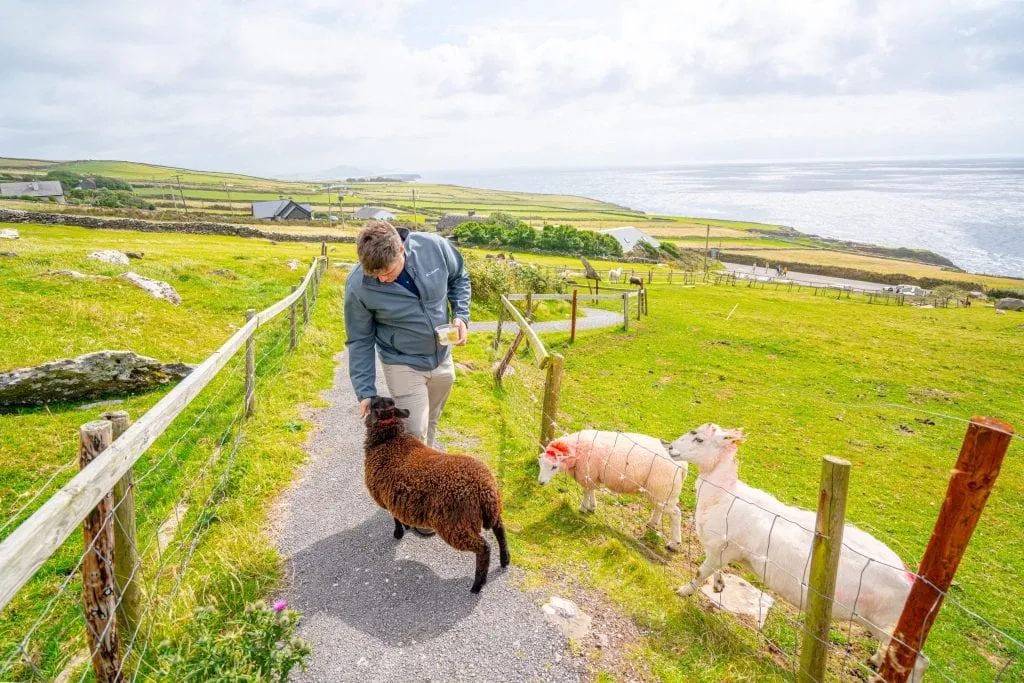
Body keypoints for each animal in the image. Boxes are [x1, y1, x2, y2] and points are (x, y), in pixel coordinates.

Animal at [362, 395, 509, 593]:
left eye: (375, 403)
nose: (370, 396)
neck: (388, 441)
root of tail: (484, 487)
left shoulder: (386, 497)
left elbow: (395, 518)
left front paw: (398, 533)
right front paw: (406, 527)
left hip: (453, 524)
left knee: (483, 547)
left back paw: (478, 584)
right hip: (493, 509)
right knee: (500, 530)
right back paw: (505, 560)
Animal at [536, 432, 688, 548]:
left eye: (554, 466)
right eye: (540, 463)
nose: (541, 482)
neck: (576, 451)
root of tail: (681, 465)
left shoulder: (588, 473)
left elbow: (586, 491)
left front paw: (583, 507)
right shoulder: (591, 476)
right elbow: (590, 490)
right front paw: (592, 506)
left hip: (662, 488)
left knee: (676, 514)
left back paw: (674, 543)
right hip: (661, 490)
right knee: (659, 508)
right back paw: (652, 523)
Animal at [667, 423, 925, 679]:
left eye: (699, 439)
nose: (669, 448)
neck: (723, 494)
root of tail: (910, 576)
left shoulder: (721, 546)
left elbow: (701, 572)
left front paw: (683, 591)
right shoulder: (724, 550)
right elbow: (715, 571)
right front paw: (719, 585)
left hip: (888, 622)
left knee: (919, 663)